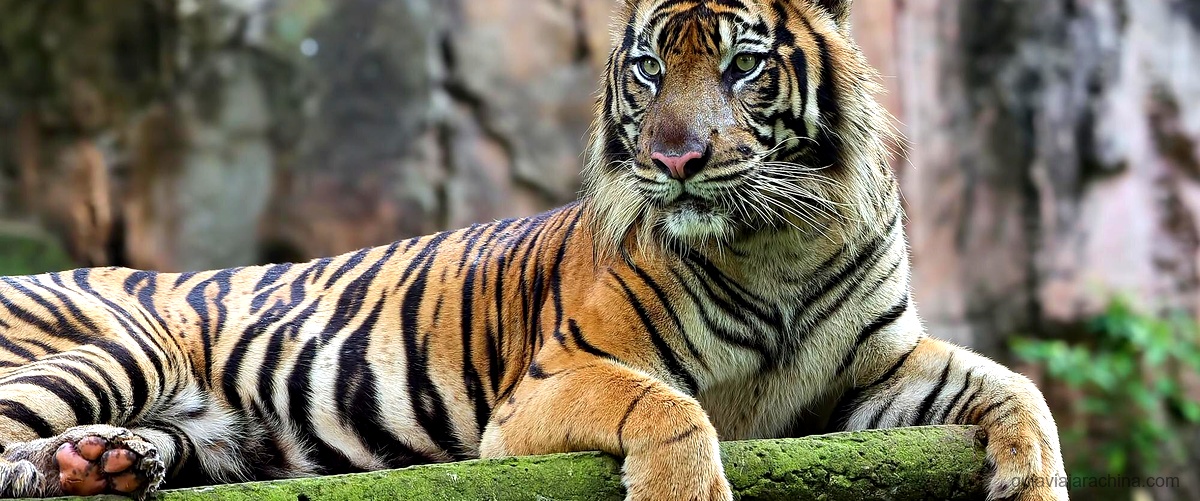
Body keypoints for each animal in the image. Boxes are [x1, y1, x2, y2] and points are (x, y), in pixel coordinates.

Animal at [0, 0, 1067, 499]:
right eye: (650, 68)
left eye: (742, 65)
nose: (673, 159)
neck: (777, 244)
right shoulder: (552, 382)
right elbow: (670, 407)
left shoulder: (876, 368)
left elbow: (1019, 388)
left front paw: (1033, 480)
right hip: (126, 342)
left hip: (209, 428)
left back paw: (105, 461)